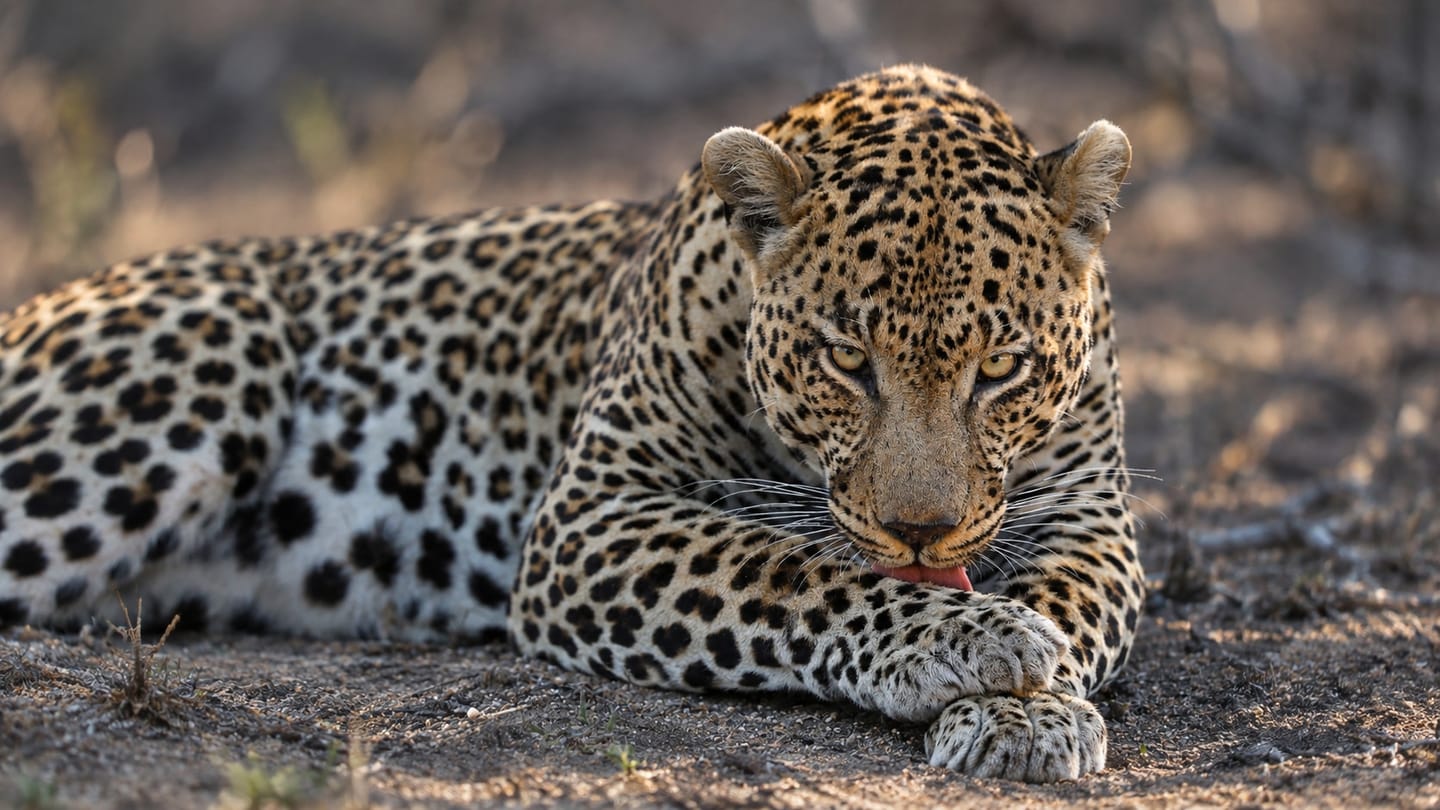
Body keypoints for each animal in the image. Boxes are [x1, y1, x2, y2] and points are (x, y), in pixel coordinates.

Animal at [0, 64, 1143, 782]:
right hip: (209, 357)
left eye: (1001, 369)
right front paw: (977, 641)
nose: (921, 533)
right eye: (844, 362)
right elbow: (794, 570)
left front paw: (1026, 712)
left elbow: (1073, 609)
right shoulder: (594, 511)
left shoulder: (1095, 521)